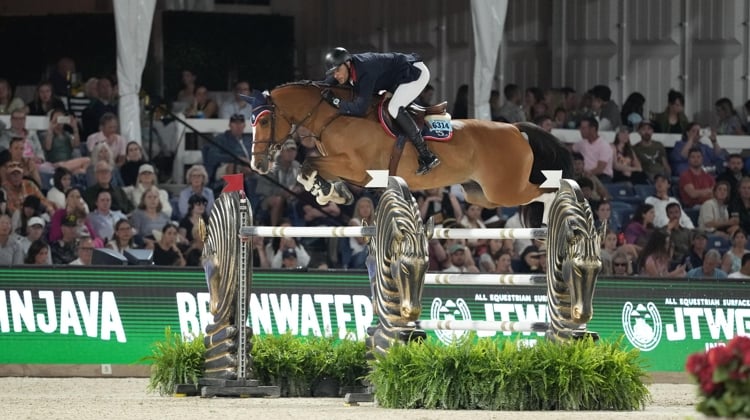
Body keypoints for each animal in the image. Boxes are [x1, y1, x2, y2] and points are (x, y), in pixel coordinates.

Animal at [250, 81, 572, 228]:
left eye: (264, 121)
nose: (258, 164)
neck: (335, 114)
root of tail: (517, 130)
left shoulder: (358, 169)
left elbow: (308, 163)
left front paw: (327, 191)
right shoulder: (344, 167)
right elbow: (313, 169)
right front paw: (331, 193)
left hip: (505, 189)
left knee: (547, 189)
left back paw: (552, 215)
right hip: (481, 195)